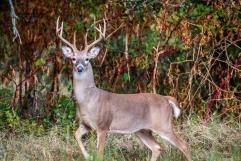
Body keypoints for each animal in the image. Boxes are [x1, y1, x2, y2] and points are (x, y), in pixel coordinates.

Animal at [55, 17, 192, 161]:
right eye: (73, 58)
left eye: (87, 59)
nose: (80, 67)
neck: (89, 100)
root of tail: (166, 99)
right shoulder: (85, 124)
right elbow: (76, 135)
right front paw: (87, 156)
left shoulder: (103, 126)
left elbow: (99, 154)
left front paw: (91, 155)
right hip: (141, 130)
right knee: (157, 147)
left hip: (163, 124)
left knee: (183, 145)